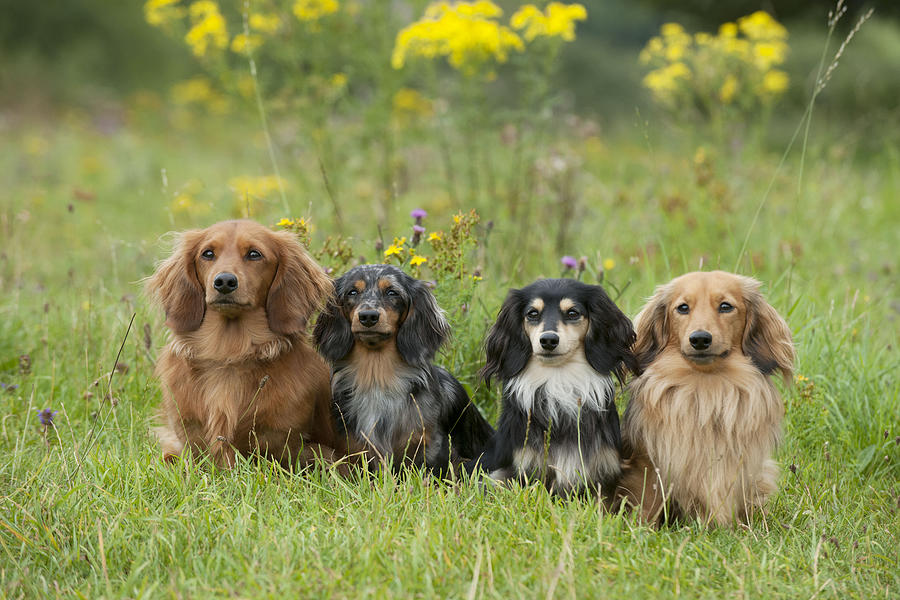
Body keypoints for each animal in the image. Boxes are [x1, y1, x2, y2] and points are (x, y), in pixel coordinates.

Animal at [148, 220, 344, 468]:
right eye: (207, 253)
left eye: (254, 254)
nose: (224, 282)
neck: (229, 353)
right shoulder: (189, 442)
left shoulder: (288, 446)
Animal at [620, 270, 796, 524]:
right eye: (683, 307)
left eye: (725, 306)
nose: (700, 339)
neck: (706, 390)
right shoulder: (650, 464)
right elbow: (648, 499)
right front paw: (642, 526)